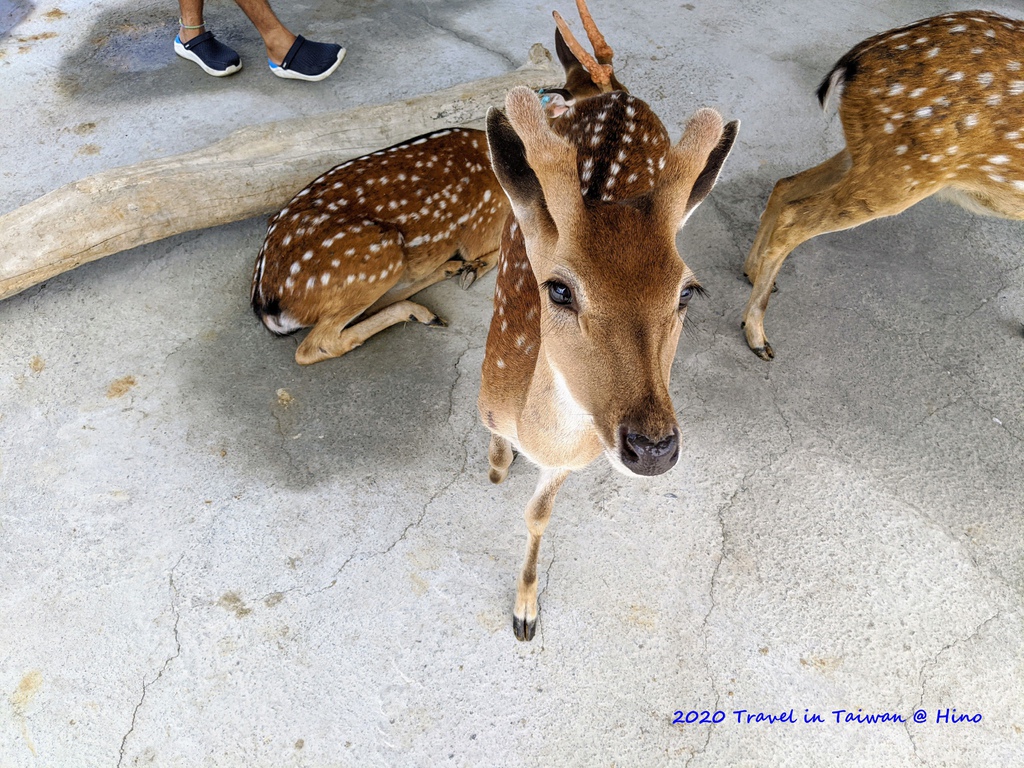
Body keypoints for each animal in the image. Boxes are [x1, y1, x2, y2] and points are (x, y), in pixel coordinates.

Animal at [250, 128, 507, 364]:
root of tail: (266, 307)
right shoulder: (482, 224)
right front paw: (475, 268)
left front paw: (470, 269)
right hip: (381, 253)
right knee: (313, 347)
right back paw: (425, 310)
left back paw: (445, 278)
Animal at [479, 1, 737, 643]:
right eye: (559, 289)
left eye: (688, 291)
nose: (653, 447)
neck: (537, 430)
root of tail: (612, 88)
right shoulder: (488, 395)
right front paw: (497, 466)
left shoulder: (575, 458)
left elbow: (538, 514)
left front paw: (526, 612)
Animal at [745, 10, 1024, 360]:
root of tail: (853, 61)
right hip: (905, 170)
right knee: (795, 216)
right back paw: (757, 335)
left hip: (872, 154)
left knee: (786, 186)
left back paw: (751, 273)